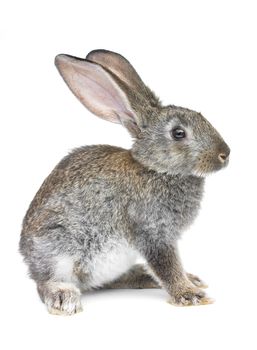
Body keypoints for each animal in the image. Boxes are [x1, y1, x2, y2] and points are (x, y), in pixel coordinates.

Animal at [19, 49, 229, 314]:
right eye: (178, 133)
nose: (225, 154)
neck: (155, 169)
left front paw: (189, 285)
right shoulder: (152, 231)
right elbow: (166, 266)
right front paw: (189, 295)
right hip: (58, 250)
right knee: (46, 282)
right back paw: (63, 297)